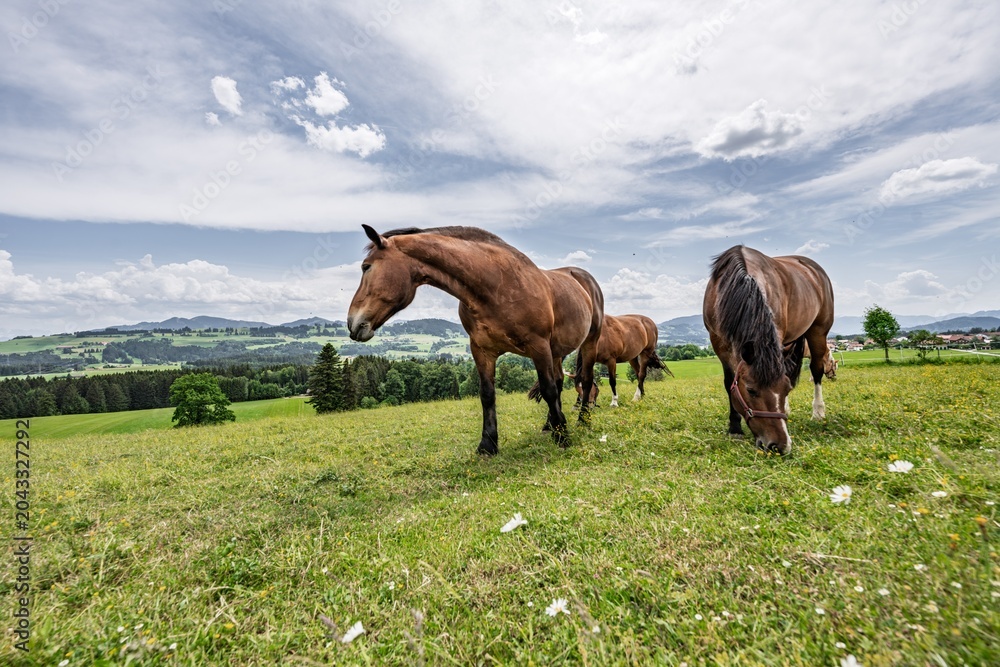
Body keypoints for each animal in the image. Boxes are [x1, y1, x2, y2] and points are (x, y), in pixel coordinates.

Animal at [347, 225, 604, 455]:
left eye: (366, 267)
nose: (353, 324)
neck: (496, 286)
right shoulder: (481, 350)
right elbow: (487, 394)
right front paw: (488, 444)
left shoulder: (538, 346)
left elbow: (548, 389)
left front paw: (563, 437)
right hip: (556, 351)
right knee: (560, 381)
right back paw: (549, 424)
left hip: (588, 342)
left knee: (585, 380)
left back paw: (582, 421)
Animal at [529, 314, 672, 407]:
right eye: (578, 390)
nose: (590, 405)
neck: (600, 338)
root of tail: (649, 321)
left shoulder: (611, 361)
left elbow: (612, 381)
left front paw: (614, 401)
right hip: (632, 357)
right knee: (638, 374)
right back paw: (641, 395)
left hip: (645, 353)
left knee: (642, 374)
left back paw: (636, 396)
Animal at [702, 245, 835, 455]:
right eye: (751, 390)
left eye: (786, 389)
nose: (779, 446)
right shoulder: (718, 343)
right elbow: (729, 382)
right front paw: (735, 428)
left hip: (818, 331)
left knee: (816, 369)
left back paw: (818, 411)